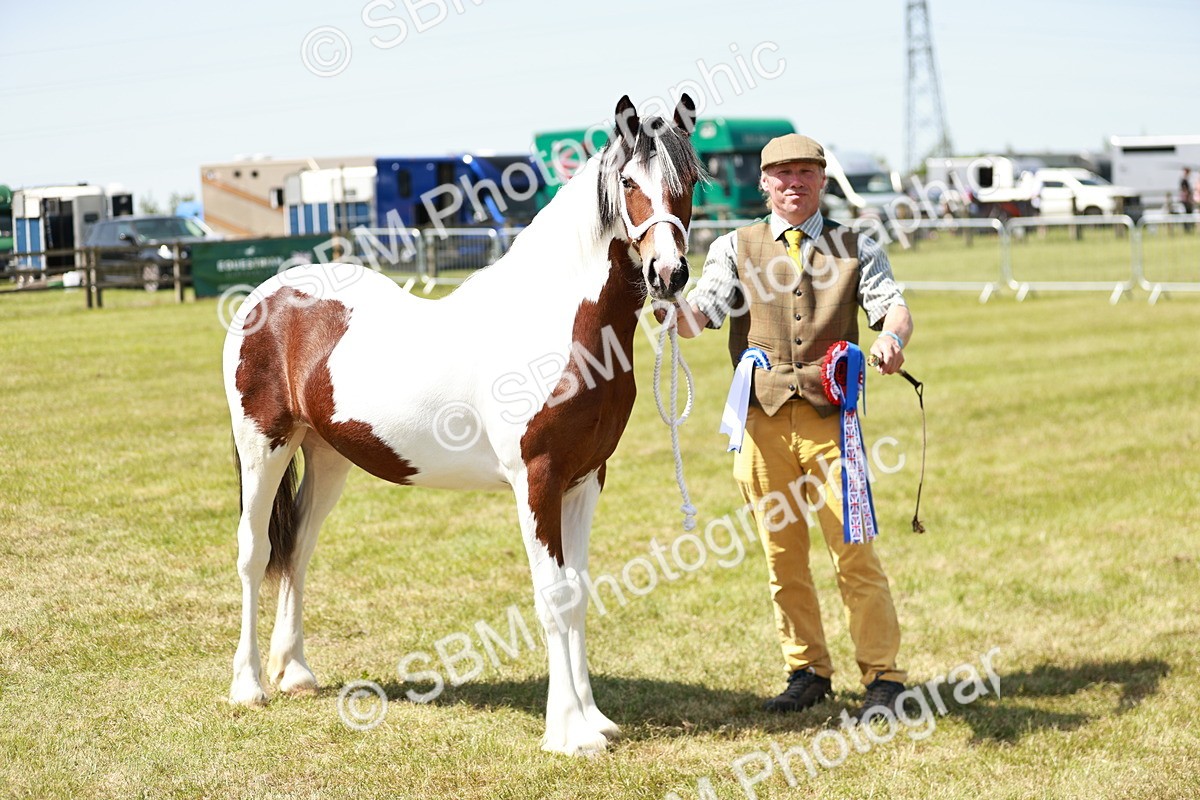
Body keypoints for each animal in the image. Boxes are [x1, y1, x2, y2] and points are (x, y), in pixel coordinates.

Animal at [222, 94, 702, 756]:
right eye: (629, 183)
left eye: (690, 183)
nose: (669, 273)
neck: (555, 322)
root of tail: (265, 296)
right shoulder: (537, 481)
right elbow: (553, 596)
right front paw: (567, 733)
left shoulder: (585, 480)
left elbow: (579, 593)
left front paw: (595, 721)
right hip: (262, 446)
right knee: (255, 552)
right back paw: (248, 687)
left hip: (326, 453)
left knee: (297, 548)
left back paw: (295, 673)